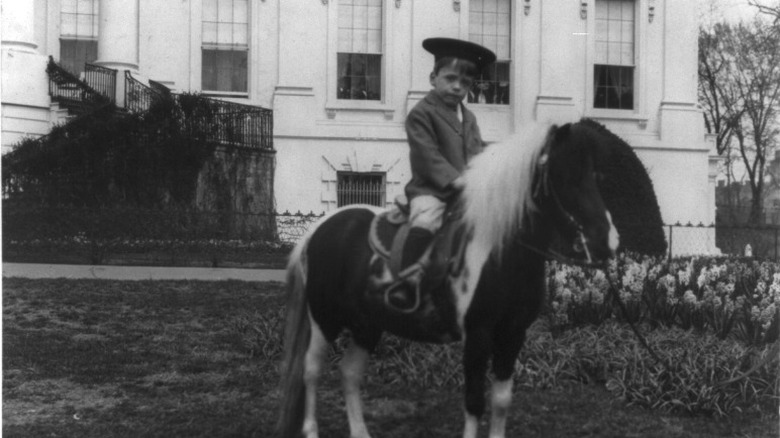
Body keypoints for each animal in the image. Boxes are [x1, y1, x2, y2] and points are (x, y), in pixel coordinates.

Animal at [278, 122, 620, 438]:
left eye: (596, 176)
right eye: (564, 176)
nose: (607, 241)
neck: (500, 252)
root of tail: (319, 228)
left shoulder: (513, 335)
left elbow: (501, 401)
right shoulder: (478, 336)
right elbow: (474, 402)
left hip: (367, 324)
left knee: (349, 372)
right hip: (325, 319)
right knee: (311, 370)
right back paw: (311, 430)